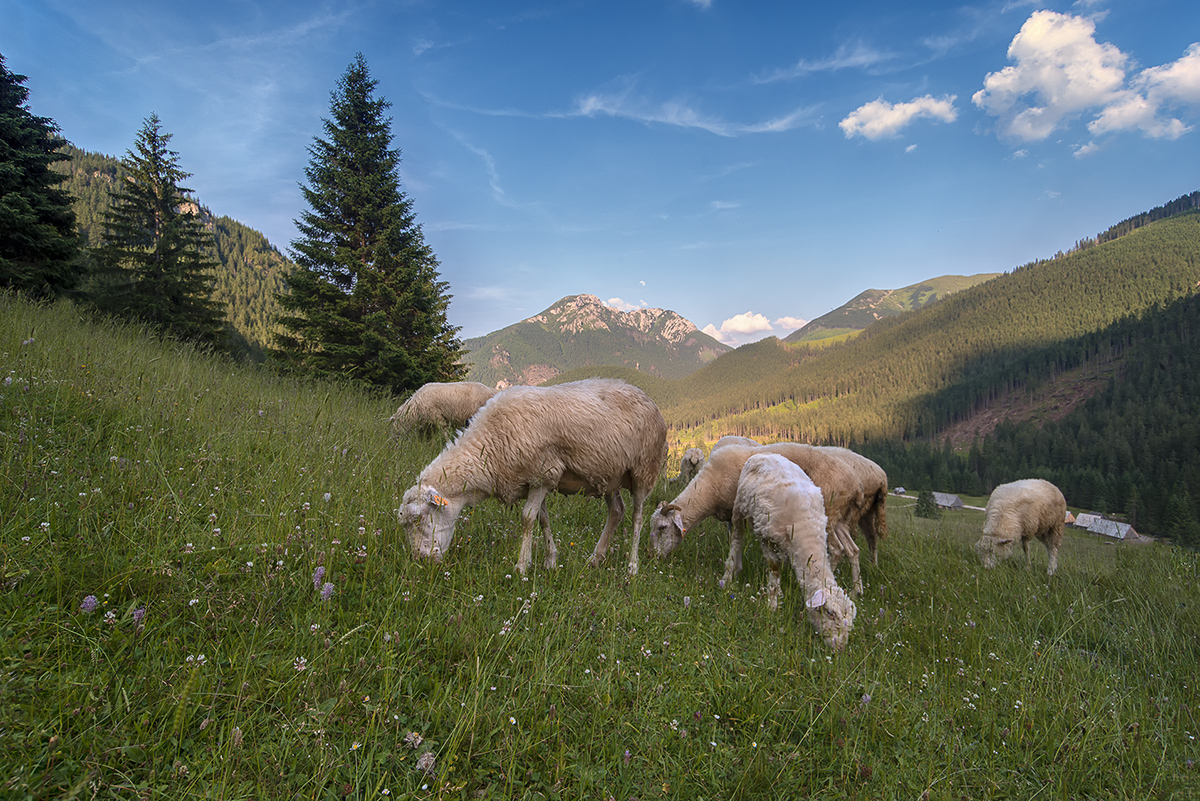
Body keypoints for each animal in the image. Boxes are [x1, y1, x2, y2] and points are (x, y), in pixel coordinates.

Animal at [400, 376, 667, 575]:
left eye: (419, 519)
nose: (421, 560)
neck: (490, 446)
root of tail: (647, 398)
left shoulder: (544, 474)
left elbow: (527, 518)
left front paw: (522, 566)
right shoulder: (536, 480)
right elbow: (543, 519)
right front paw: (550, 561)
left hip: (644, 468)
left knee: (638, 517)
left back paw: (632, 566)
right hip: (608, 476)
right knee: (617, 511)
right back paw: (595, 558)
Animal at [652, 443, 878, 594]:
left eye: (662, 528)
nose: (652, 557)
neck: (709, 489)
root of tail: (856, 484)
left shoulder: (737, 510)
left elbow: (736, 542)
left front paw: (731, 573)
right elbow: (735, 540)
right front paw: (737, 569)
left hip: (828, 514)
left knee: (837, 549)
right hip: (839, 518)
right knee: (852, 550)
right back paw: (857, 590)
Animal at [729, 453, 854, 647]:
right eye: (830, 613)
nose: (839, 648)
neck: (806, 530)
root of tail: (764, 454)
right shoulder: (768, 538)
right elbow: (774, 570)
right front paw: (772, 605)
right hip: (739, 507)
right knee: (737, 537)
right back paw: (729, 572)